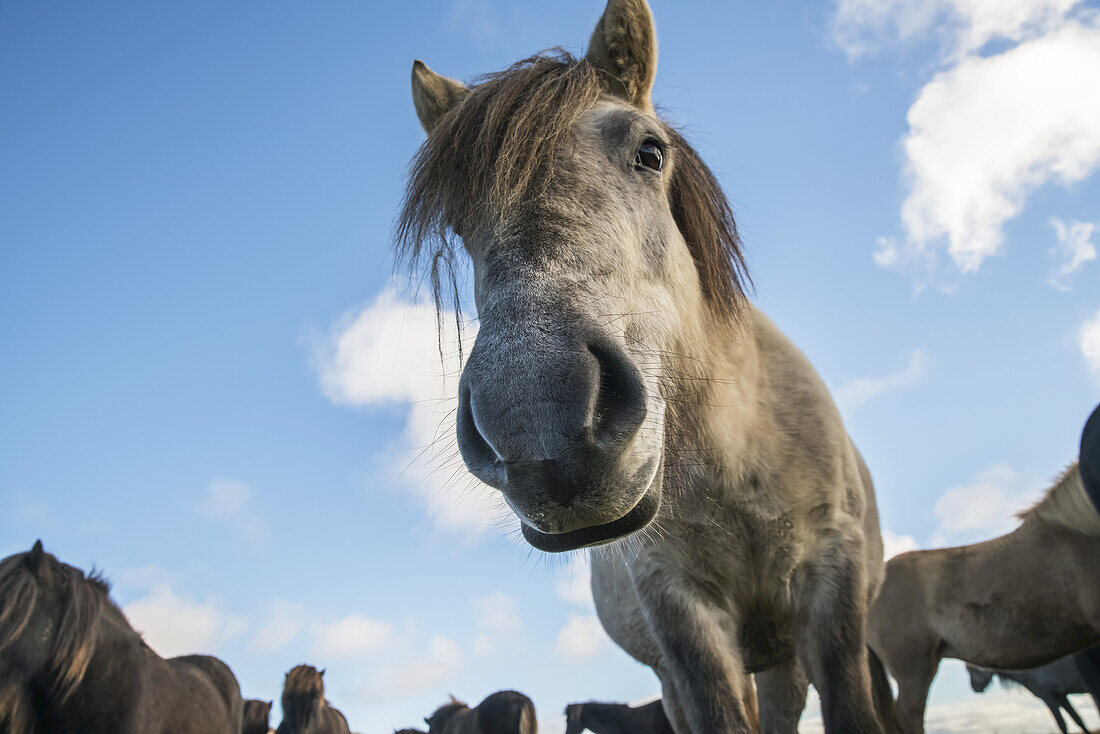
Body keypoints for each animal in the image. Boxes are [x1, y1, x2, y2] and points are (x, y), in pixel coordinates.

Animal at [404, 1, 893, 734]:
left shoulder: (831, 586)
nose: (541, 424)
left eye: (649, 152)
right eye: (459, 218)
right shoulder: (679, 613)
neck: (738, 458)